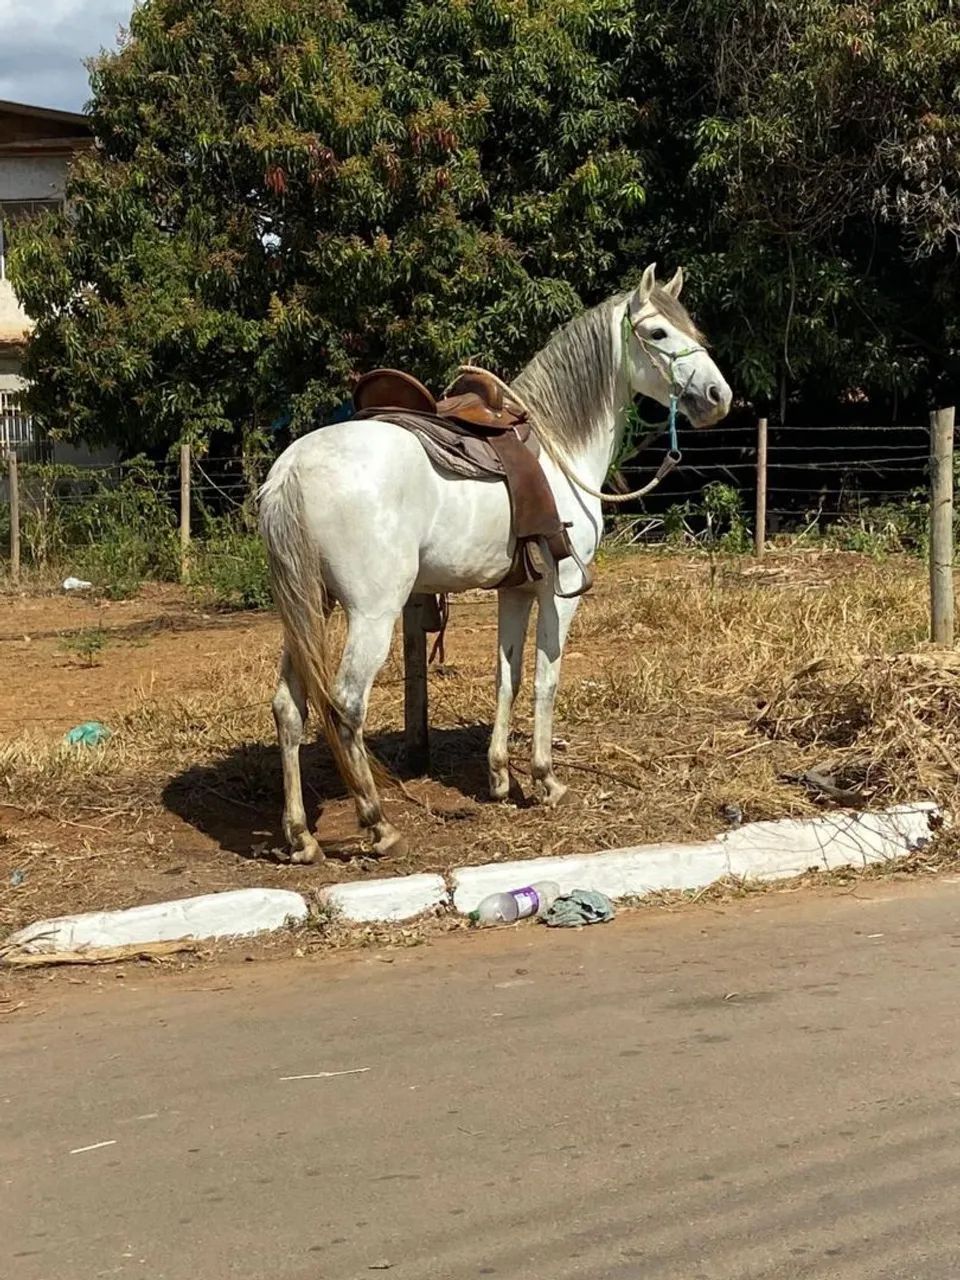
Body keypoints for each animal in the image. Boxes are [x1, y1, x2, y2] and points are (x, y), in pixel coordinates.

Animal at [259, 263, 732, 863]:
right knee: (345, 705)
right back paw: (378, 823)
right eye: (657, 333)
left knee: (288, 708)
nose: (718, 396)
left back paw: (300, 835)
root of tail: (291, 468)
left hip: (306, 610)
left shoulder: (516, 589)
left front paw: (501, 778)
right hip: (371, 614)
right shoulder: (560, 591)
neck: (560, 446)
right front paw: (546, 779)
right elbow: (546, 679)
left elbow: (508, 676)